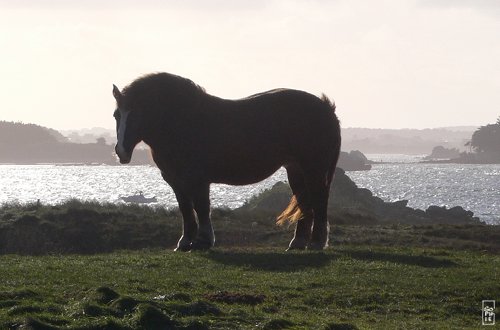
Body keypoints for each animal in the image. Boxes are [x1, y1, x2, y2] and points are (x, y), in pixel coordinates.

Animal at [112, 72, 340, 250]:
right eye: (116, 115)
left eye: (137, 115)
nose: (121, 152)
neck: (183, 122)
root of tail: (326, 107)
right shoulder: (175, 180)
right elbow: (185, 209)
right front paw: (185, 242)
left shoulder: (198, 179)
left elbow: (201, 207)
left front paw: (203, 241)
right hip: (296, 170)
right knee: (305, 201)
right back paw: (298, 242)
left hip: (313, 169)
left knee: (319, 200)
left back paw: (316, 242)